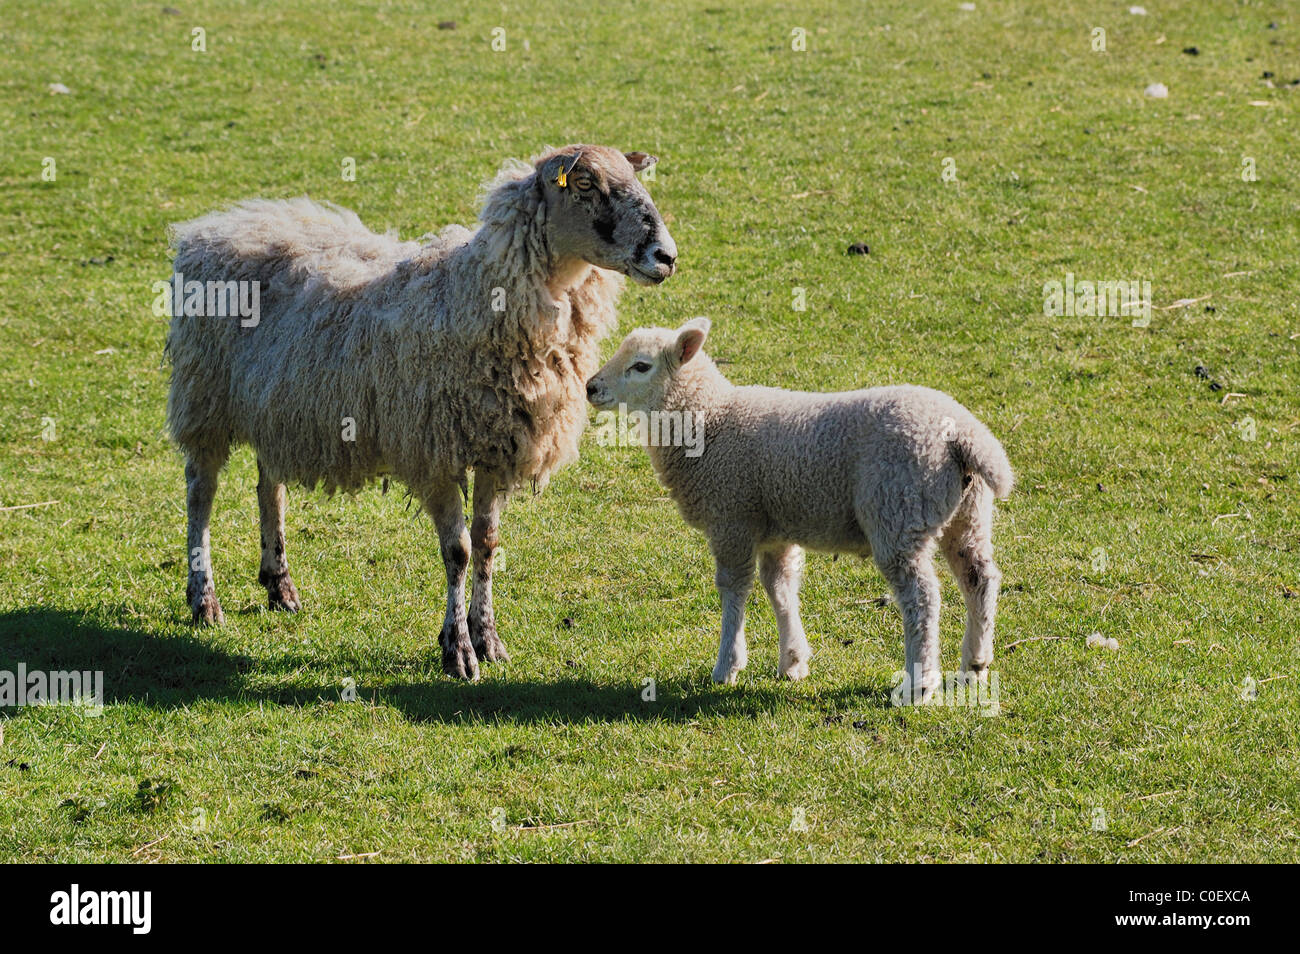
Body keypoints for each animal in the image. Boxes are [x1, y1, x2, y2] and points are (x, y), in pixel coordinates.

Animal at [165, 145, 676, 681]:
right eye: (584, 185)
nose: (666, 256)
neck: (473, 296)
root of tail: (220, 222)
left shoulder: (497, 448)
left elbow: (487, 544)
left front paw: (488, 637)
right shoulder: (434, 451)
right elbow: (459, 551)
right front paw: (458, 650)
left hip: (274, 405)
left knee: (270, 485)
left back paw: (279, 584)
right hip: (204, 396)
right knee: (200, 494)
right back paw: (204, 600)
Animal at [585, 318, 1013, 702]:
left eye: (641, 365)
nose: (591, 387)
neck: (710, 421)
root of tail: (963, 434)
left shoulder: (731, 517)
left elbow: (733, 589)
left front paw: (727, 666)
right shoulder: (775, 526)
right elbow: (780, 587)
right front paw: (792, 661)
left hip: (898, 509)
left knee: (922, 597)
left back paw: (919, 685)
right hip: (966, 513)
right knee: (980, 578)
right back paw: (975, 666)